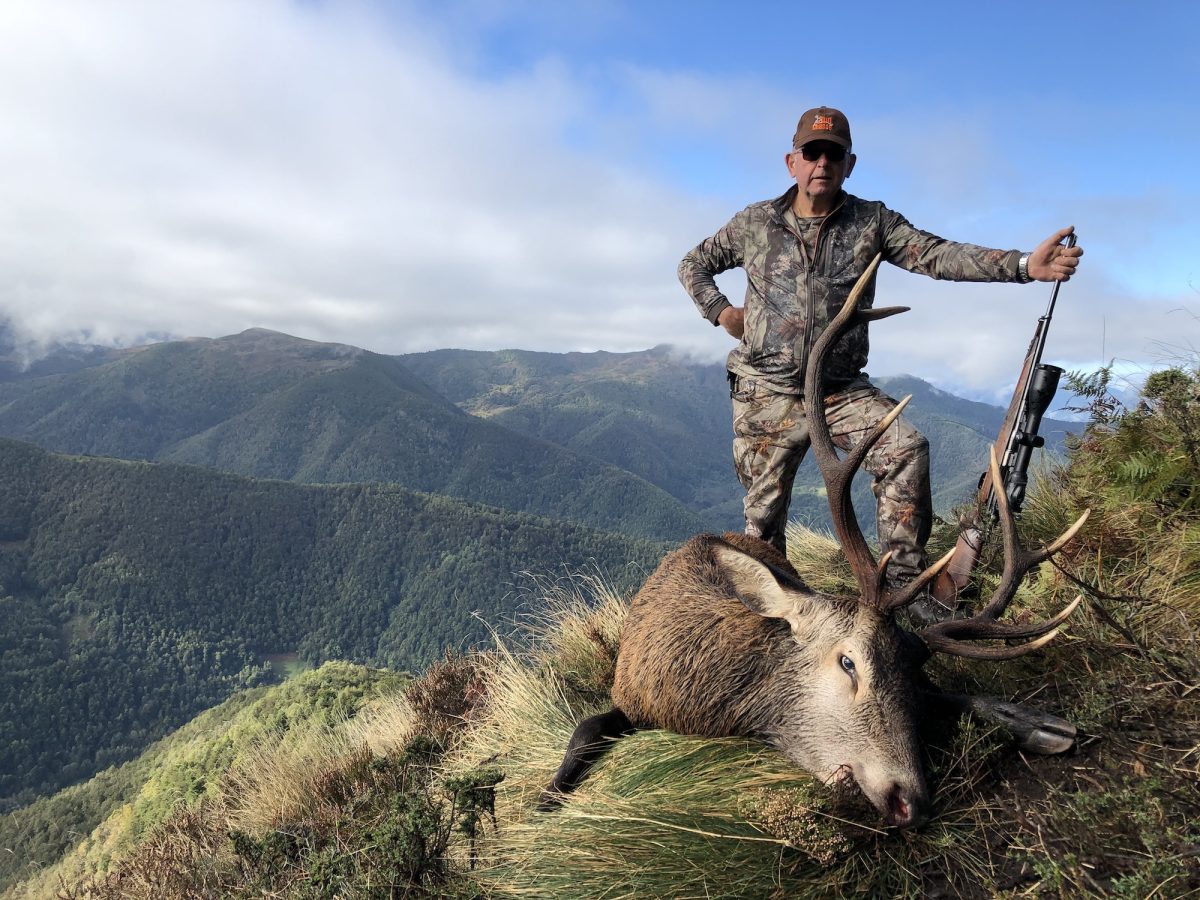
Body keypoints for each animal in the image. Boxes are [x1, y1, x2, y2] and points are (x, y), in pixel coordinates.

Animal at [539, 255, 1089, 828]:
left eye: (907, 675)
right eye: (848, 662)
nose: (910, 800)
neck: (702, 699)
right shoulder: (628, 694)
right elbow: (585, 729)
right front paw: (546, 799)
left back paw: (1046, 725)